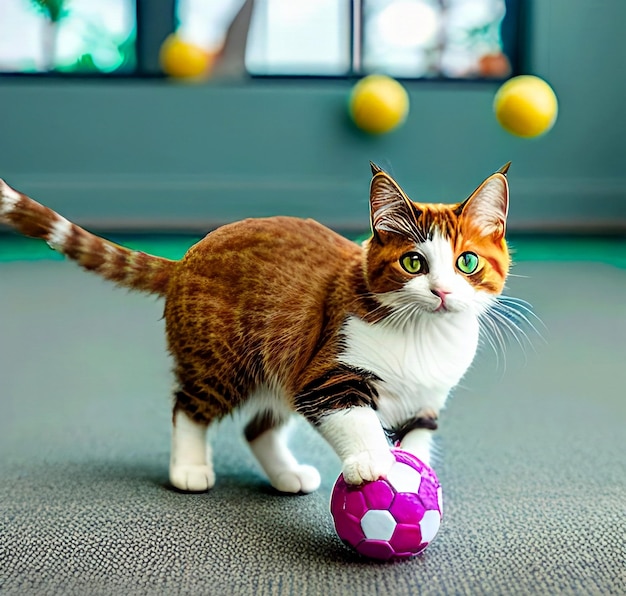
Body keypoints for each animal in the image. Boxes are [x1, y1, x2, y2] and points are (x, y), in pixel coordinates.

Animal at [0, 162, 516, 494]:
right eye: (413, 262)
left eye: (466, 262)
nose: (442, 291)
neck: (422, 336)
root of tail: (184, 260)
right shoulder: (325, 374)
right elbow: (354, 416)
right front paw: (372, 460)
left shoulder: (427, 400)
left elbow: (418, 440)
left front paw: (414, 476)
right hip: (223, 361)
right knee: (189, 406)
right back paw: (189, 469)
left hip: (278, 362)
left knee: (257, 427)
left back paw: (288, 477)